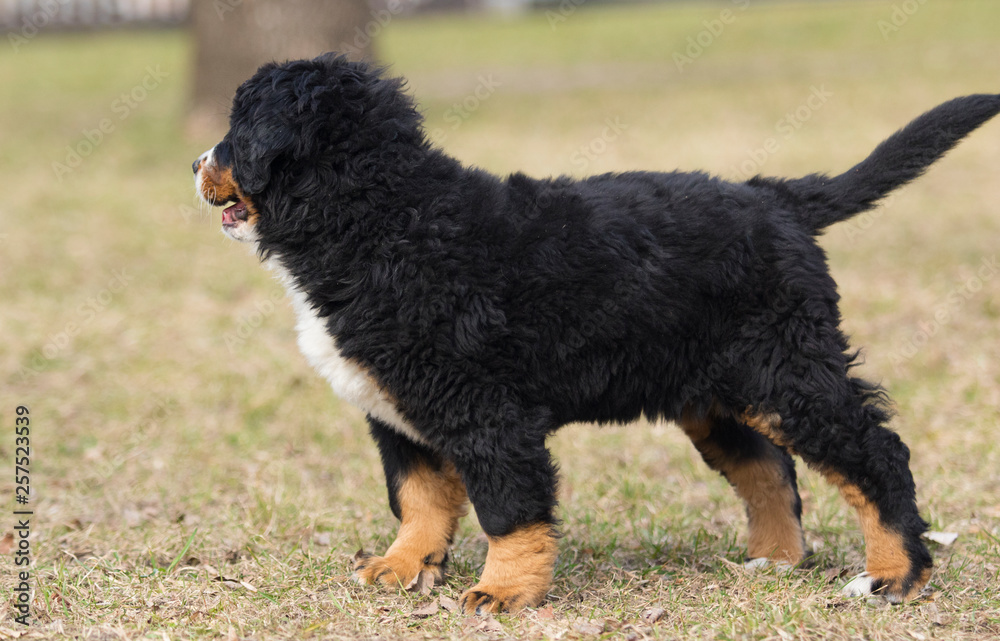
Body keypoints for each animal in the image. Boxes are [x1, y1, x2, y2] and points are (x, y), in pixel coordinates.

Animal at [195, 52, 1000, 612]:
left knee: (876, 453)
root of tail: (775, 197)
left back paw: (895, 574)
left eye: (235, 132)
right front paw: (402, 566)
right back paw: (775, 559)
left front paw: (503, 592)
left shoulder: (487, 411)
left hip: (789, 370)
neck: (382, 218)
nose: (196, 162)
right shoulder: (399, 413)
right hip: (721, 391)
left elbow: (508, 508)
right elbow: (418, 497)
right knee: (768, 467)